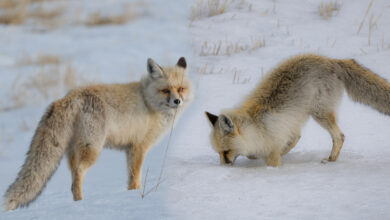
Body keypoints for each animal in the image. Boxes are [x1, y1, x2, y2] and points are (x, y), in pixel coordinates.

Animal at [3, 56, 192, 210]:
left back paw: (75, 203)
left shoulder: (129, 149)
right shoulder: (139, 147)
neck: (148, 101)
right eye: (165, 90)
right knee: (78, 176)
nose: (177, 101)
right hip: (93, 149)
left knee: (72, 179)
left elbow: (131, 179)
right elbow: (136, 179)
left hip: (73, 152)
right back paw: (81, 204)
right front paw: (136, 197)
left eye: (181, 89)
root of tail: (69, 96)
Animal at [206, 54, 388, 166]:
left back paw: (331, 160)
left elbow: (274, 157)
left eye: (226, 152)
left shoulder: (276, 139)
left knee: (340, 136)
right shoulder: (289, 128)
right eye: (218, 153)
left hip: (319, 113)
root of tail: (332, 60)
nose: (223, 166)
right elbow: (288, 142)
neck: (257, 125)